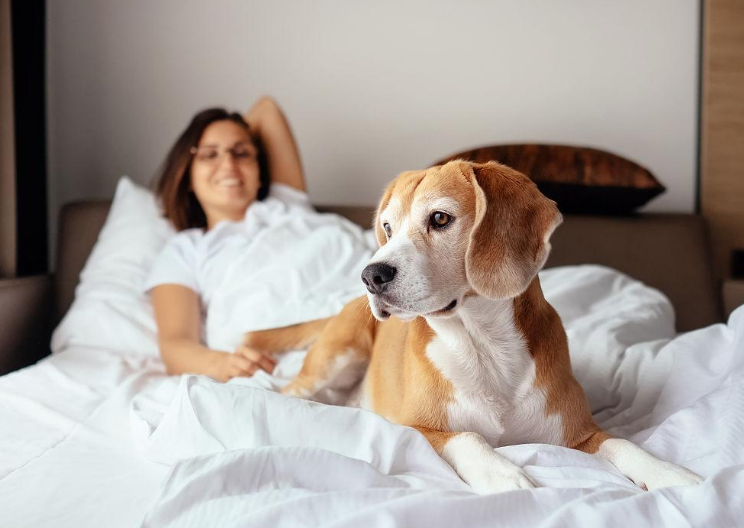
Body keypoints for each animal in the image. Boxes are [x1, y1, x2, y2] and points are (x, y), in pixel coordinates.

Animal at [248, 159, 704, 492]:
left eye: (440, 219)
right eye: (388, 228)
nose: (370, 276)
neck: (482, 344)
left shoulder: (580, 434)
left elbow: (625, 444)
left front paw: (670, 473)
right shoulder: (416, 428)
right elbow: (468, 437)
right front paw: (502, 473)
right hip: (335, 358)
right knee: (287, 391)